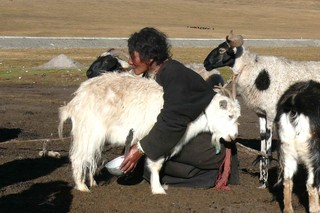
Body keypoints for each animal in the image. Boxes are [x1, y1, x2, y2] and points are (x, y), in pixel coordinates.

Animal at [59, 72, 240, 195]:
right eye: (229, 115)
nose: (234, 136)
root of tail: (75, 101)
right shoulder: (159, 135)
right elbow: (156, 164)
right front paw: (158, 189)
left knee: (90, 157)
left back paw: (92, 182)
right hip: (88, 131)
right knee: (79, 157)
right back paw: (82, 187)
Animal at [204, 31, 320, 188]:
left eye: (222, 50)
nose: (205, 63)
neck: (256, 72)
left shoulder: (271, 114)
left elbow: (268, 143)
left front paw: (265, 180)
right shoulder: (261, 114)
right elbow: (262, 139)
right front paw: (262, 180)